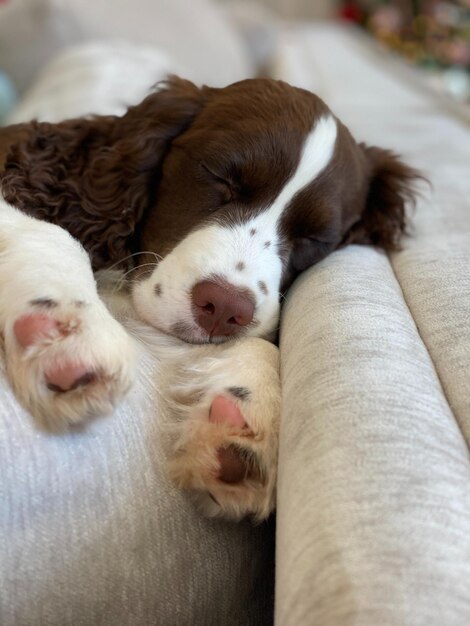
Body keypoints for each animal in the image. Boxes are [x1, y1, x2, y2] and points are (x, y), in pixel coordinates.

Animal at [0, 75, 418, 520]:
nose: (224, 308)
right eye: (219, 178)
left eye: (314, 238)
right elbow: (55, 232)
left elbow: (261, 339)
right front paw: (68, 335)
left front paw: (244, 422)